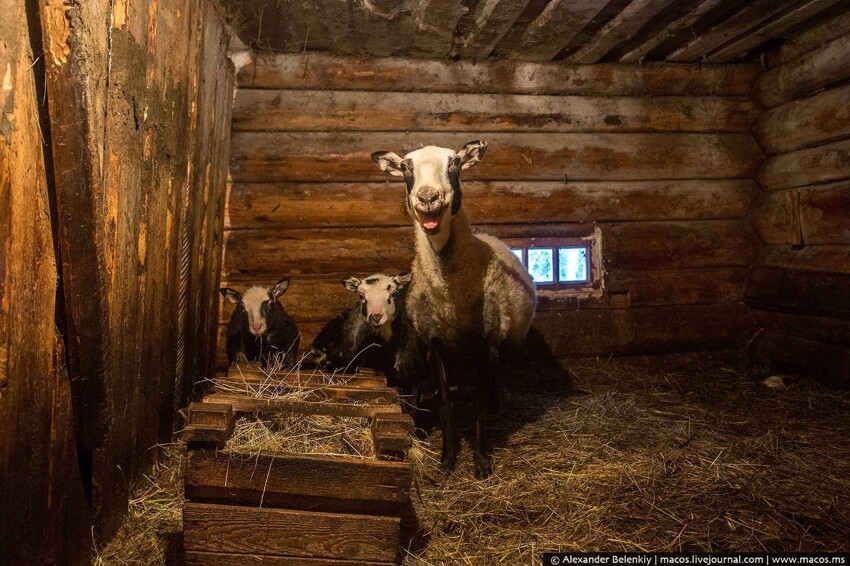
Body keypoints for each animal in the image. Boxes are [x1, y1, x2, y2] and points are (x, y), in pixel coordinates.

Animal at [372, 141, 536, 480]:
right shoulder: (435, 343)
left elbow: (478, 406)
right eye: (405, 167)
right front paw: (447, 459)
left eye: (456, 163)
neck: (452, 299)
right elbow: (447, 402)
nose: (427, 197)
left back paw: (496, 402)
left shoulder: (487, 343)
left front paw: (482, 461)